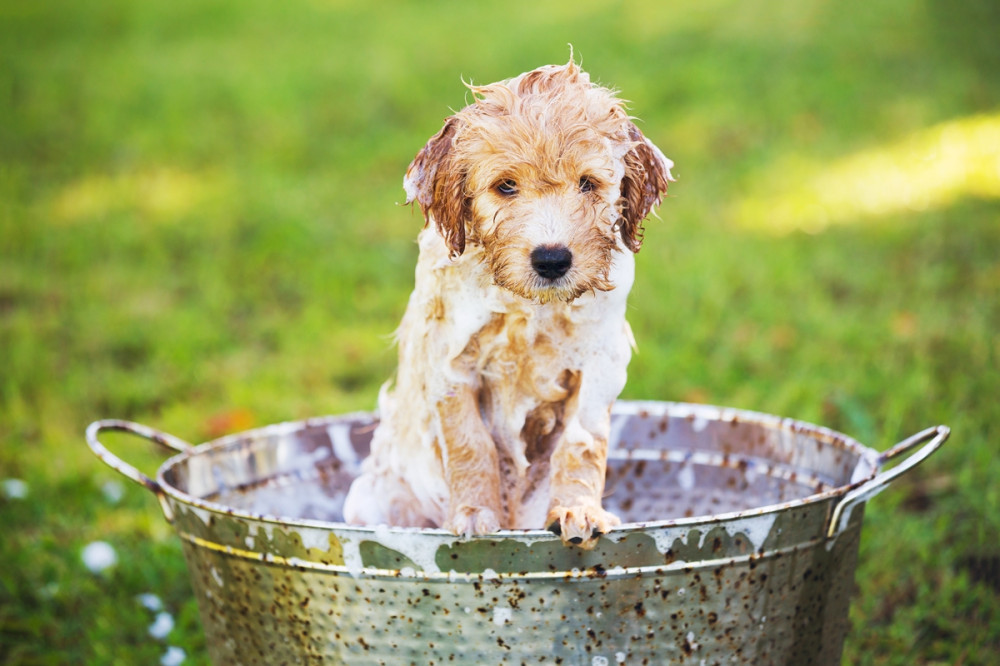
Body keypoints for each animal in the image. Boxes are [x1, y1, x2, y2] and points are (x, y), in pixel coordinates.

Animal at [342, 58, 672, 544]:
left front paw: (579, 509)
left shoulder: (599, 363)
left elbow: (581, 443)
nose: (552, 259)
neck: (528, 308)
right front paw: (475, 513)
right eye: (505, 186)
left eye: (588, 184)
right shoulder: (451, 361)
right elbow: (469, 442)